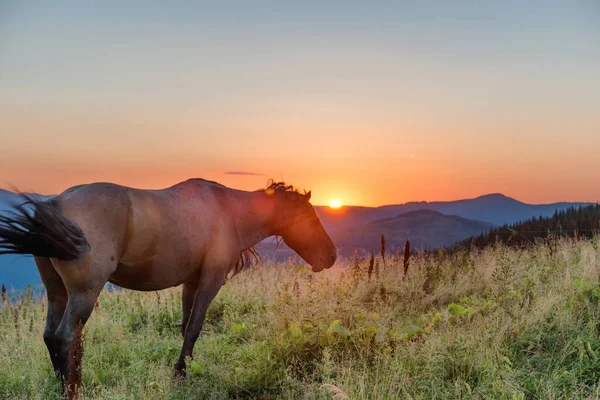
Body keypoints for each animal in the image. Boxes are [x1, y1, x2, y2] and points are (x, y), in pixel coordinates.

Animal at [0, 178, 338, 382]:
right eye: (310, 217)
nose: (331, 255)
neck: (228, 210)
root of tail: (55, 202)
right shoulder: (211, 281)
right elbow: (195, 327)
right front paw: (181, 373)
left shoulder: (191, 283)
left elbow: (186, 327)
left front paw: (185, 367)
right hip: (83, 294)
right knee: (64, 336)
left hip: (57, 294)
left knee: (49, 335)